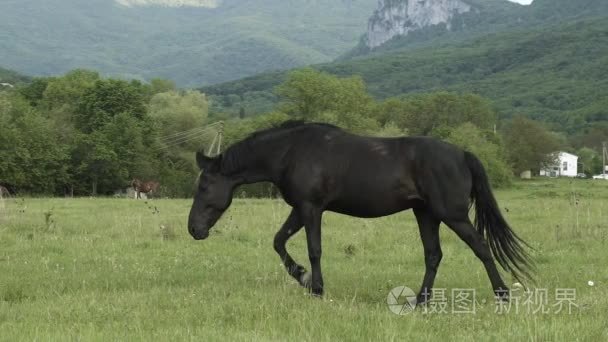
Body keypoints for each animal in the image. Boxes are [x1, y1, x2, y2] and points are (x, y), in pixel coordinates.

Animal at [186, 121, 532, 302]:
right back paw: (420, 300)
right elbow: (279, 241)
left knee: (481, 247)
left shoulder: (311, 209)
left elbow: (314, 249)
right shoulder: (299, 209)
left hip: (452, 215)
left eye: (203, 186)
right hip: (426, 214)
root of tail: (462, 153)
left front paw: (316, 287)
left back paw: (502, 294)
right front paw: (302, 277)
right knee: (434, 255)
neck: (291, 152)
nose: (194, 229)